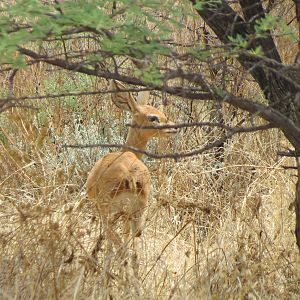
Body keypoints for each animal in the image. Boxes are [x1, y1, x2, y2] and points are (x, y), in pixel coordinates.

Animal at [86, 79, 176, 246]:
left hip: (109, 212)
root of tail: (130, 177)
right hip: (135, 214)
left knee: (117, 242)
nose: (173, 128)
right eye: (153, 117)